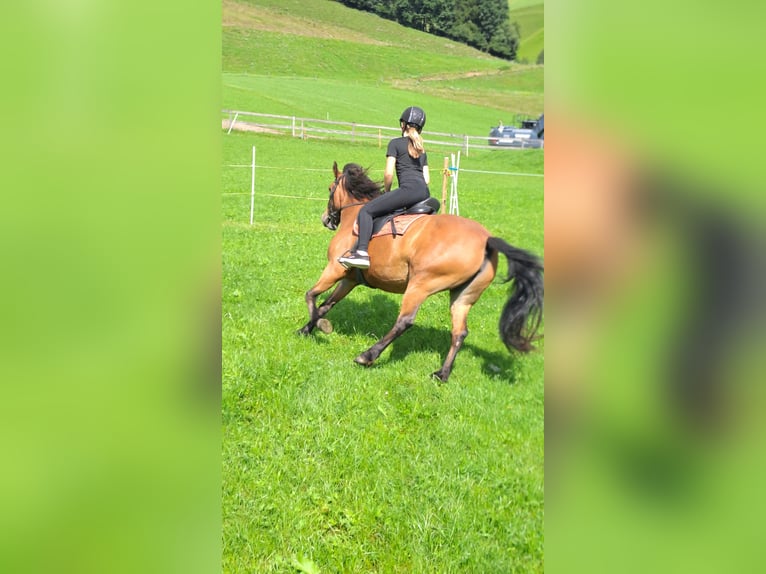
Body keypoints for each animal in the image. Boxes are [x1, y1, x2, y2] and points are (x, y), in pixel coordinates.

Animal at [298, 161, 544, 382]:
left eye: (330, 188)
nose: (326, 219)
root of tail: (487, 240)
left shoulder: (334, 269)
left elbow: (311, 296)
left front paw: (319, 326)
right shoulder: (349, 279)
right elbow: (326, 304)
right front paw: (306, 329)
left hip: (420, 284)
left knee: (405, 321)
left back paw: (367, 356)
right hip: (463, 295)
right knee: (460, 332)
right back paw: (442, 374)